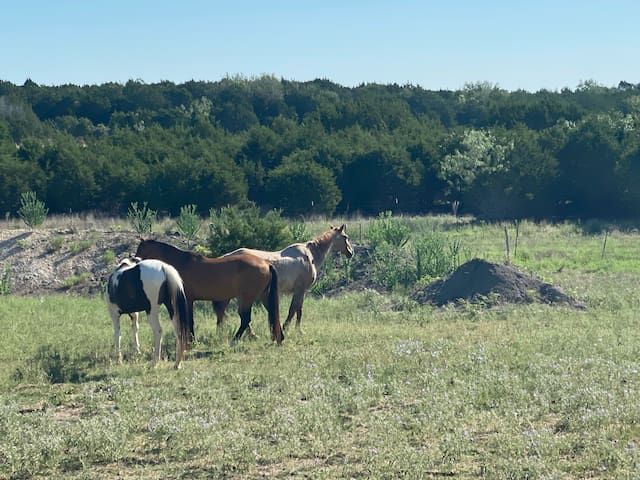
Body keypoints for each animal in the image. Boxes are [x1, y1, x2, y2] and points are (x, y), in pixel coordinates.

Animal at [135, 239, 282, 344]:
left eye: (140, 250)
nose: (135, 263)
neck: (181, 264)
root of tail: (266, 264)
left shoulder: (188, 300)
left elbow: (190, 320)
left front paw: (191, 341)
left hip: (246, 298)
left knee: (245, 319)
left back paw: (234, 340)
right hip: (263, 297)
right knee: (272, 313)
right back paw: (279, 337)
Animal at [215, 223, 356, 332]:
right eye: (345, 237)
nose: (351, 252)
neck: (310, 256)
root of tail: (226, 257)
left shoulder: (301, 290)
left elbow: (299, 309)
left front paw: (298, 330)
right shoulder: (300, 289)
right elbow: (293, 309)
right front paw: (287, 328)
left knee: (223, 312)